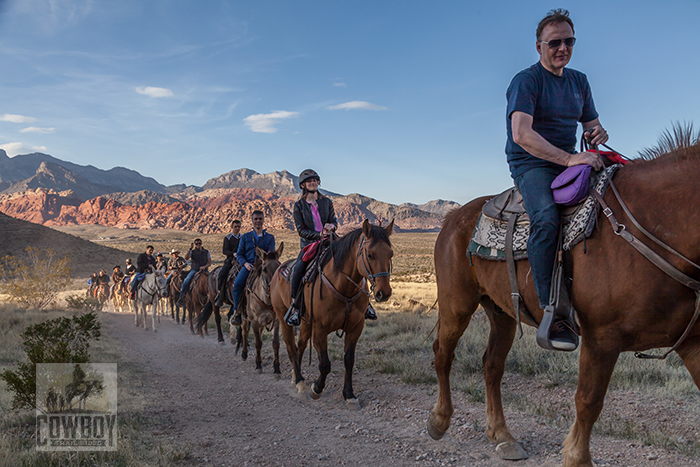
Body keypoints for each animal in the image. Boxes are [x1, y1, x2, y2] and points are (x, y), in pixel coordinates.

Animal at [239, 243, 284, 374]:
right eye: (264, 269)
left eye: (279, 266)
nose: (274, 286)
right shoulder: (254, 321)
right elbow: (258, 343)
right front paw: (258, 365)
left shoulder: (276, 321)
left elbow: (275, 343)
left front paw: (276, 368)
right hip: (245, 317)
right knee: (244, 331)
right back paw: (244, 354)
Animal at [270, 219, 394, 402]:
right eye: (370, 254)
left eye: (390, 254)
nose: (383, 293)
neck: (344, 287)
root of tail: (278, 270)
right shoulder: (319, 329)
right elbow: (325, 364)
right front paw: (316, 388)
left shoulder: (355, 327)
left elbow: (349, 360)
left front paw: (349, 394)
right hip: (283, 317)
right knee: (291, 347)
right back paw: (300, 382)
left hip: (305, 322)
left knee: (300, 345)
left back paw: (294, 377)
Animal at [426, 133, 700, 466]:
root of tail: (452, 218)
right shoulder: (601, 337)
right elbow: (588, 401)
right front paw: (576, 457)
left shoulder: (692, 342)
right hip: (457, 304)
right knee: (443, 353)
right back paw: (439, 420)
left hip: (501, 312)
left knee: (492, 365)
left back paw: (502, 436)